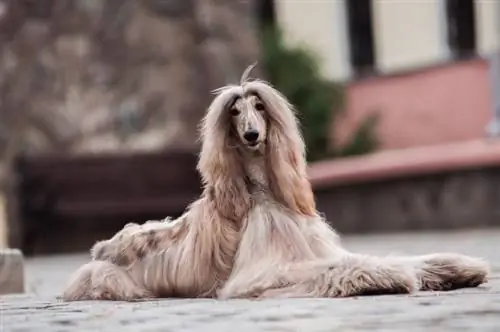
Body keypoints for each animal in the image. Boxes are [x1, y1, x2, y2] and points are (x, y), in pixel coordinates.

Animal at [61, 63, 488, 300]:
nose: (252, 135)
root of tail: (97, 254)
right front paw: (385, 277)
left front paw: (455, 267)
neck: (261, 193)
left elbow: (396, 257)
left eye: (259, 107)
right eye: (234, 112)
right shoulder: (263, 273)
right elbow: (341, 267)